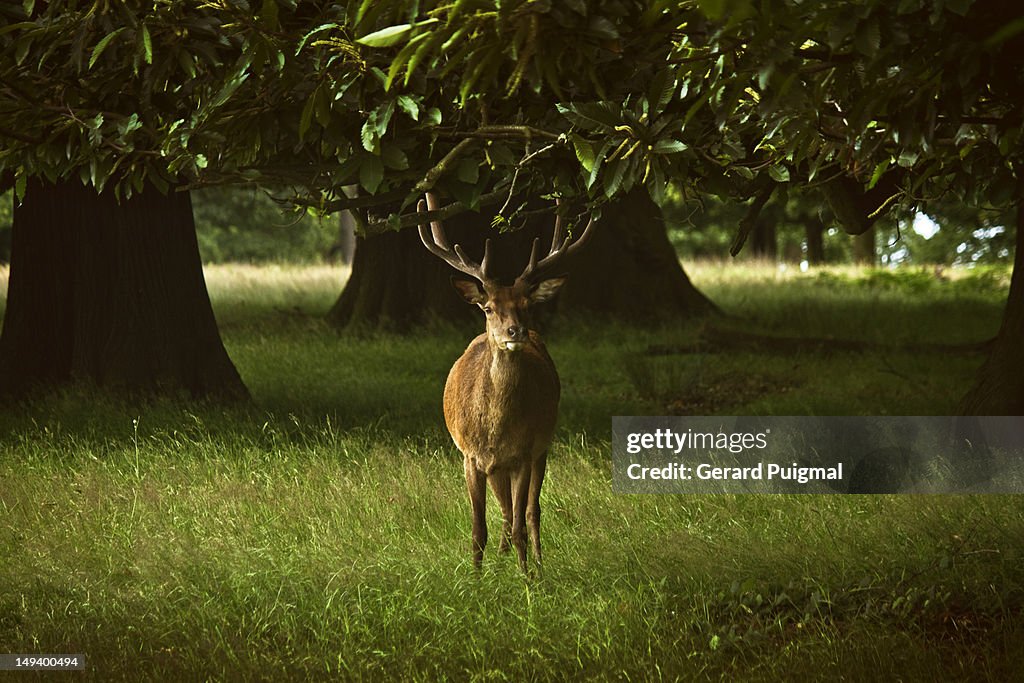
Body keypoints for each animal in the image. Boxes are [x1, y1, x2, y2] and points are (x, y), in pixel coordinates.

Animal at [415, 191, 593, 573]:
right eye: (488, 308)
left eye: (527, 304)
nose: (516, 331)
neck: (495, 429)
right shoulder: (470, 457)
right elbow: (477, 528)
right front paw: (477, 578)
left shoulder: (524, 454)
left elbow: (522, 521)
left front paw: (528, 579)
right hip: (495, 467)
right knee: (506, 512)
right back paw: (501, 560)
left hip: (542, 447)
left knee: (528, 512)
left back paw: (536, 564)